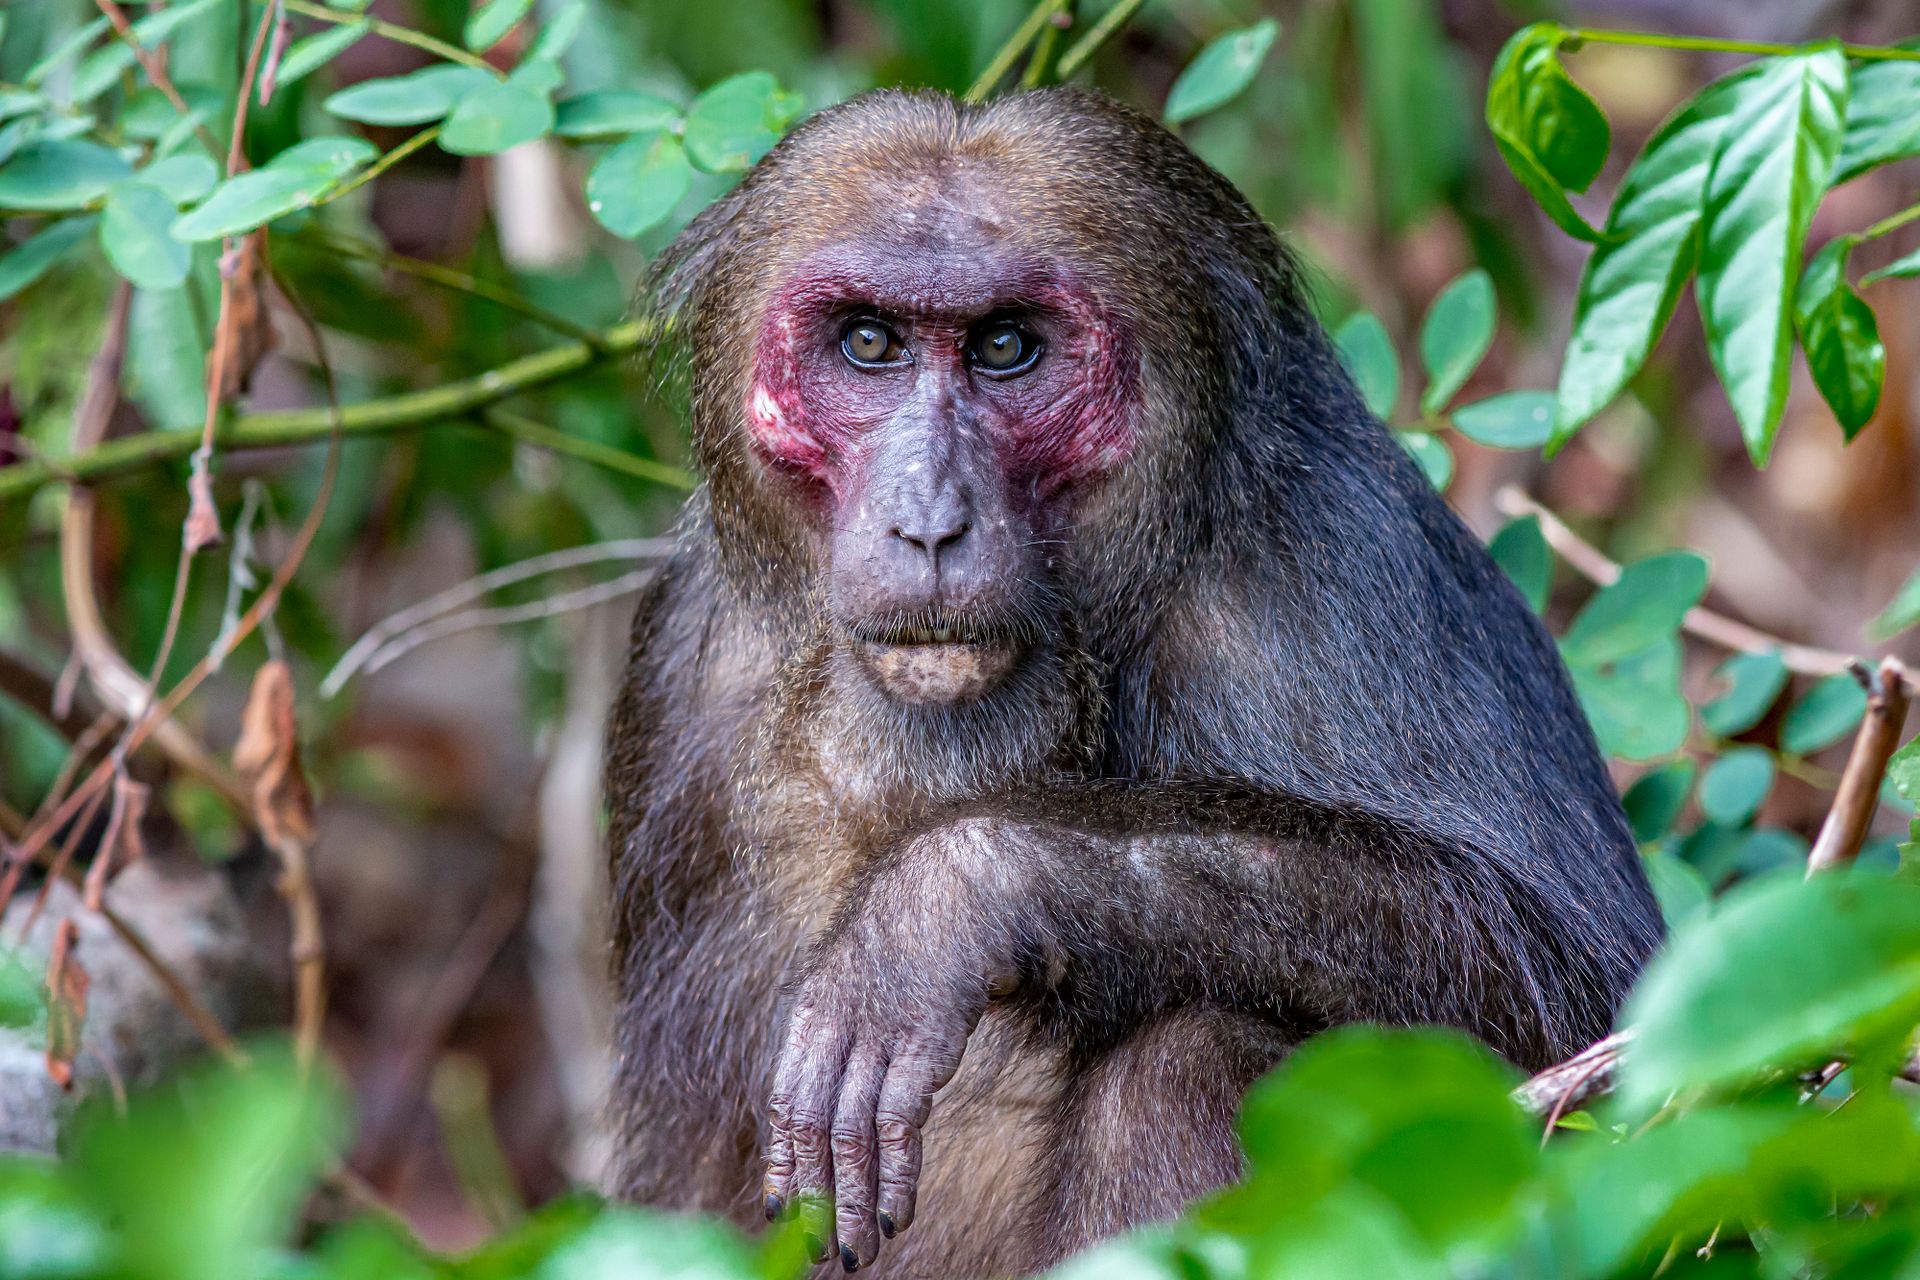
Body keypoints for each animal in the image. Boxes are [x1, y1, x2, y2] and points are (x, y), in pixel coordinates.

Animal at [602, 86, 1663, 1278]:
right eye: (868, 343)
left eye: (1006, 348)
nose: (930, 519)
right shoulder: (679, 668)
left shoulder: (1338, 568)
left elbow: (1576, 978)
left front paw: (945, 904)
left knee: (1185, 1055)